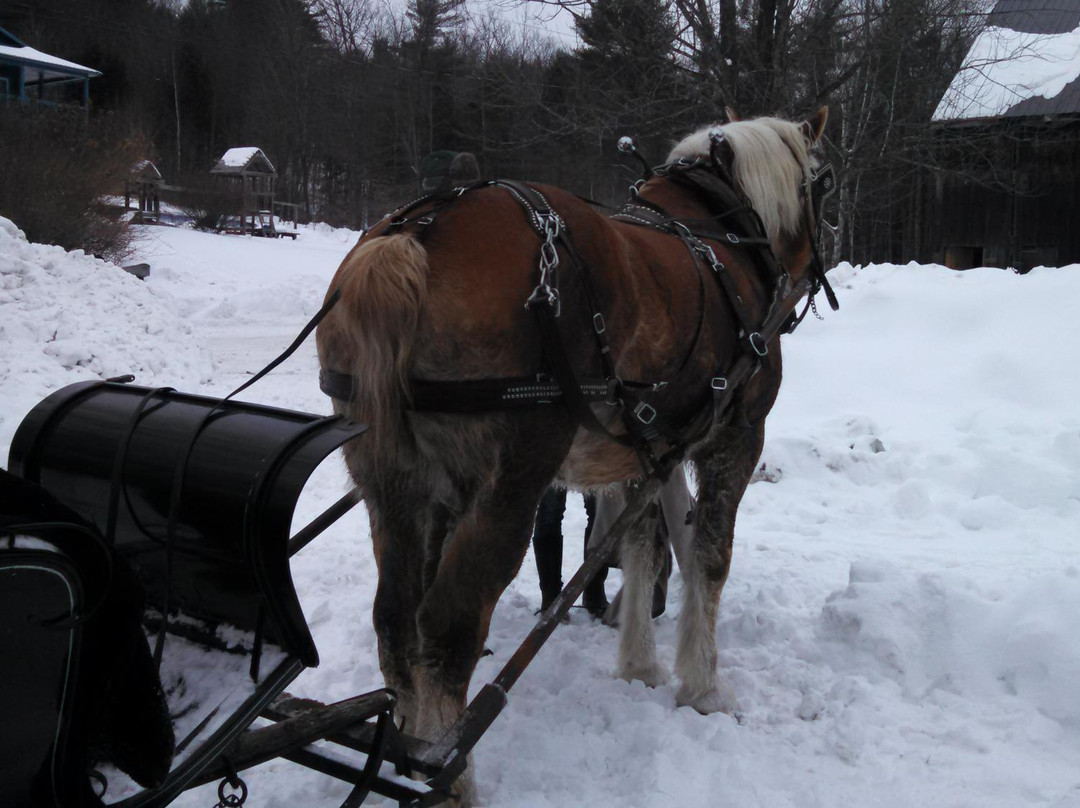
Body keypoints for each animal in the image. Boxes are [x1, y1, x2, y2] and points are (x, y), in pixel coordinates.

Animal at [315, 107, 829, 803]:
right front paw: (702, 687)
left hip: (392, 481)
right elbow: (709, 559)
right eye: (821, 187)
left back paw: (403, 752)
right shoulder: (737, 437)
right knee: (446, 629)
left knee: (396, 620)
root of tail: (414, 233)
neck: (721, 232)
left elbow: (642, 549)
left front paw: (638, 664)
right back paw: (448, 776)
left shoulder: (647, 452)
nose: (809, 274)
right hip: (507, 483)